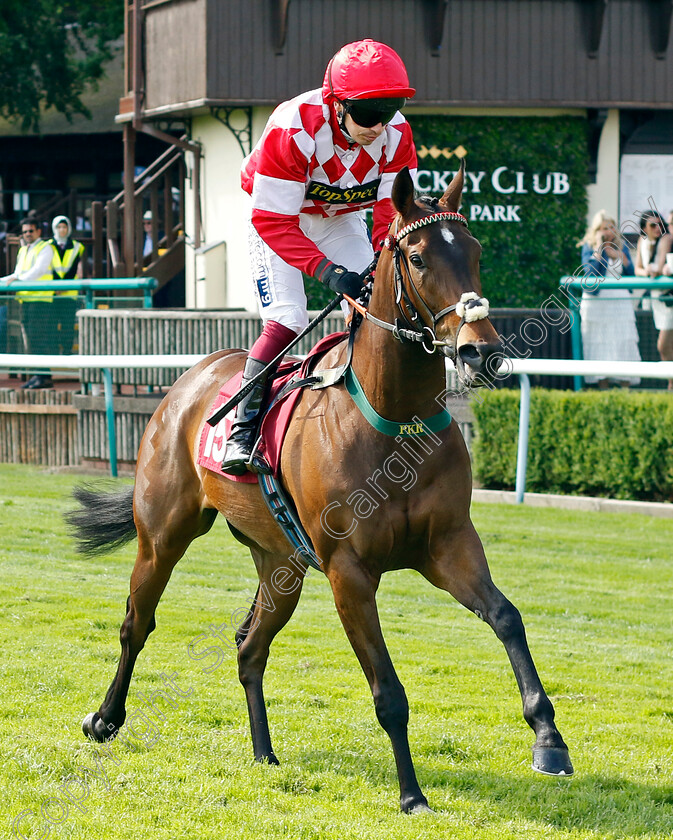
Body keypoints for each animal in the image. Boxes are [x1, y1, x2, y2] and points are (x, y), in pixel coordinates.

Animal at [69, 166, 572, 812]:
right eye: (418, 257)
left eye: (476, 251)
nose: (479, 350)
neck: (393, 420)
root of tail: (189, 379)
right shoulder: (348, 571)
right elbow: (388, 690)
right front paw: (411, 793)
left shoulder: (449, 545)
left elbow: (507, 618)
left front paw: (548, 740)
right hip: (162, 535)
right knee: (138, 623)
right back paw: (105, 718)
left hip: (280, 563)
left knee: (250, 647)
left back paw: (264, 751)